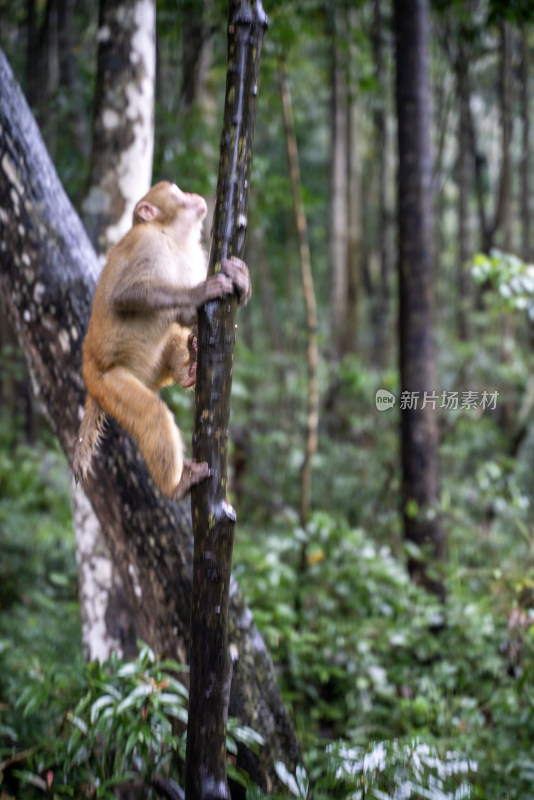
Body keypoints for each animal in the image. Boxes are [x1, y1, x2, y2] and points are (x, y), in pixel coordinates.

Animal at [71, 180, 253, 500]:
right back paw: (175, 486)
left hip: (149, 374)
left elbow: (188, 317)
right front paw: (198, 292)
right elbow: (125, 294)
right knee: (152, 415)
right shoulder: (146, 243)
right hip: (108, 383)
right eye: (174, 190)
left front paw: (242, 283)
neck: (173, 237)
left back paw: (189, 369)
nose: (191, 194)